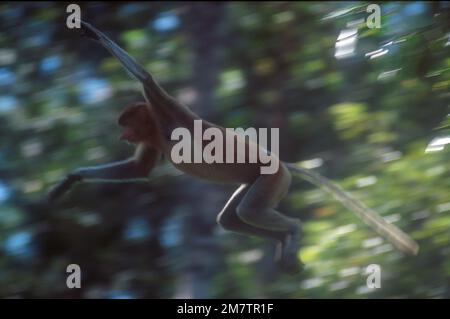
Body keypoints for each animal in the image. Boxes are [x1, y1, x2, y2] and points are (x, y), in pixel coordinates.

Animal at [48, 21, 418, 276]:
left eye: (126, 123)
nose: (123, 135)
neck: (156, 125)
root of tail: (283, 164)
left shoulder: (168, 109)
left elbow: (146, 78)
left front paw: (90, 31)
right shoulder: (152, 136)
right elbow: (139, 169)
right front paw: (71, 179)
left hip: (272, 178)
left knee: (249, 211)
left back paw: (293, 231)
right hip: (259, 182)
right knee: (230, 217)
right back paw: (282, 244)